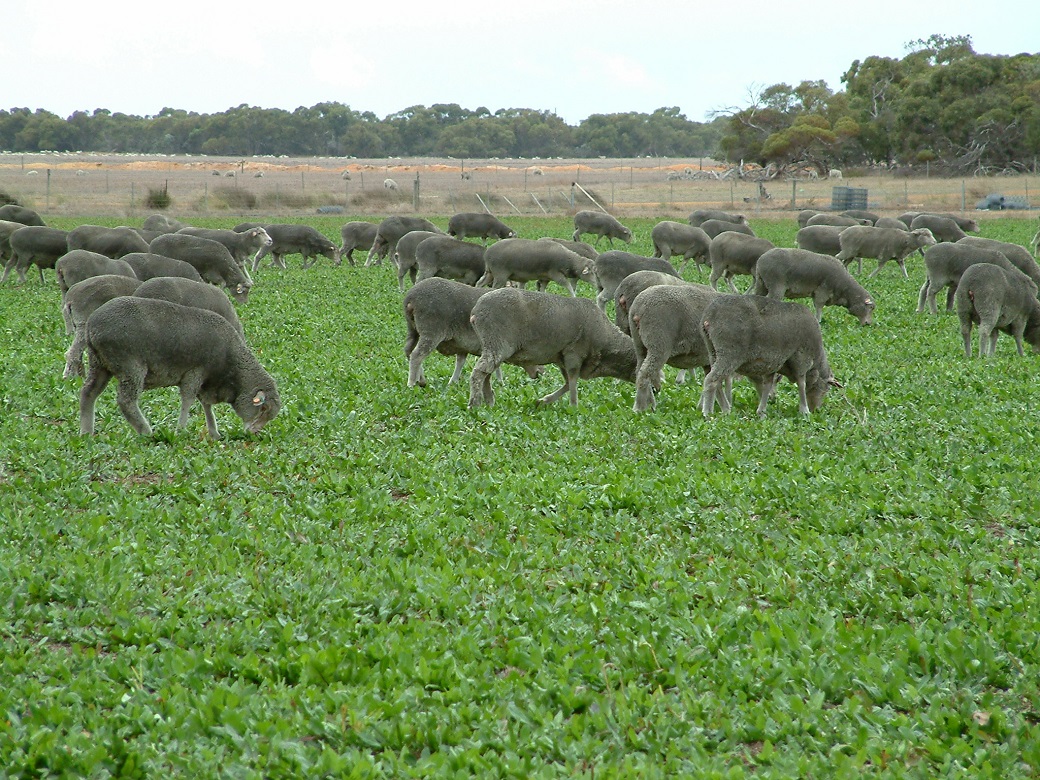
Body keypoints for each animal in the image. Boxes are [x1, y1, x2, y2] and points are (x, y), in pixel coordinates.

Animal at [79, 295, 280, 440]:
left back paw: (86, 432)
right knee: (125, 401)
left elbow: (206, 404)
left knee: (88, 392)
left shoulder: (206, 381)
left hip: (100, 363)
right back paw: (146, 431)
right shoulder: (196, 372)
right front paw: (180, 430)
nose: (255, 434)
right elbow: (188, 399)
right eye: (263, 409)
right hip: (130, 365)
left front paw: (214, 433)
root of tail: (91, 325)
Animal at [399, 276, 540, 388]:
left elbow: (461, 361)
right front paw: (501, 383)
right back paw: (412, 383)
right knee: (417, 355)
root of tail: (410, 298)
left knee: (408, 350)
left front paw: (453, 382)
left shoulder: (465, 344)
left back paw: (421, 380)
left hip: (413, 328)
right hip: (431, 331)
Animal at [470, 287, 632, 409]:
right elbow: (573, 380)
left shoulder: (561, 357)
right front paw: (574, 406)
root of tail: (475, 312)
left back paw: (489, 402)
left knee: (486, 373)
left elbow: (567, 383)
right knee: (480, 371)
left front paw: (543, 401)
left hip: (490, 344)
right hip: (497, 342)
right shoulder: (574, 353)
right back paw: (475, 404)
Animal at [698, 293, 836, 418]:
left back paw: (725, 409)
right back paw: (708, 413)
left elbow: (767, 385)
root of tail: (709, 316)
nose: (816, 410)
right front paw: (804, 410)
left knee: (716, 380)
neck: (817, 360)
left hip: (713, 351)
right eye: (826, 389)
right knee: (711, 380)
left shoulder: (772, 364)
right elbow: (801, 383)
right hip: (729, 353)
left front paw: (762, 412)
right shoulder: (801, 358)